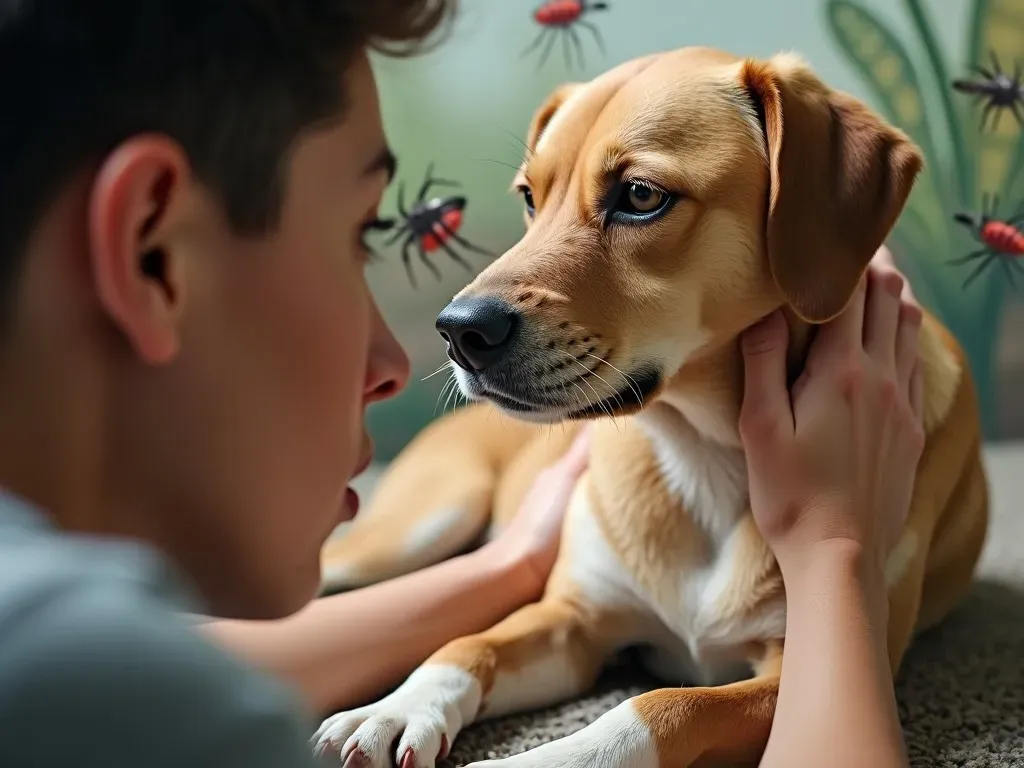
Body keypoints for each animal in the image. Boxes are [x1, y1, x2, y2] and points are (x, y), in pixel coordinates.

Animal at [315, 46, 987, 768]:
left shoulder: (797, 671)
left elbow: (663, 707)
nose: (458, 331)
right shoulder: (572, 620)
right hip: (425, 523)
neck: (702, 450)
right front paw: (393, 708)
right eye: (530, 197)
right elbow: (468, 645)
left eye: (640, 196)